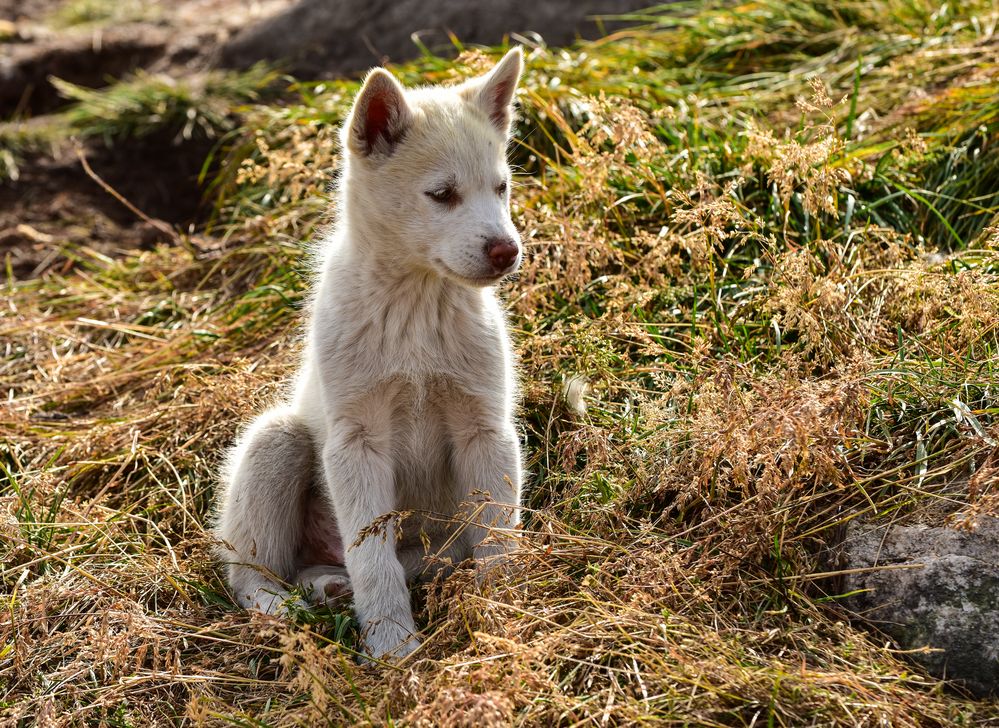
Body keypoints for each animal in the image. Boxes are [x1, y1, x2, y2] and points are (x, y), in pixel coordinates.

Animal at [216, 48, 528, 656]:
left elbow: (498, 534)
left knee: (414, 559)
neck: (416, 315)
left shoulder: (486, 429)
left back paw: (330, 587)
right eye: (442, 194)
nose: (507, 251)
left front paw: (504, 611)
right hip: (277, 440)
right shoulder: (356, 442)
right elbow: (372, 559)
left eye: (501, 187)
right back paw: (285, 607)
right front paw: (393, 647)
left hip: (437, 538)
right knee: (251, 574)